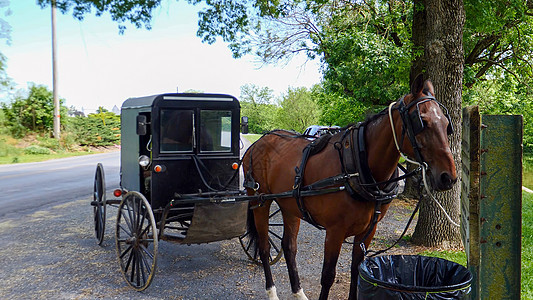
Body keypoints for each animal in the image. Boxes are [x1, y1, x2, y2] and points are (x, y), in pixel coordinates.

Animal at [243, 75, 456, 300]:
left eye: (446, 124)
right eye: (422, 121)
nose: (448, 177)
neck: (358, 165)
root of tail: (258, 143)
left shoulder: (367, 231)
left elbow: (357, 270)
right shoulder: (335, 231)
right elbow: (328, 276)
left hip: (289, 205)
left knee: (289, 247)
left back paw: (298, 293)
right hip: (259, 202)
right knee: (265, 248)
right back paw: (271, 291)